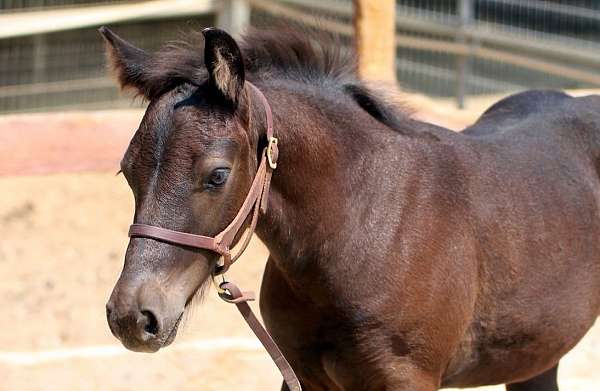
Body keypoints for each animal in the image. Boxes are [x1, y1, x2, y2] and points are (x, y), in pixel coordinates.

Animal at [101, 26, 600, 390]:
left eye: (217, 175)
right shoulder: (306, 376)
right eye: (127, 172)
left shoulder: (407, 380)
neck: (361, 232)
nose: (133, 316)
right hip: (536, 353)